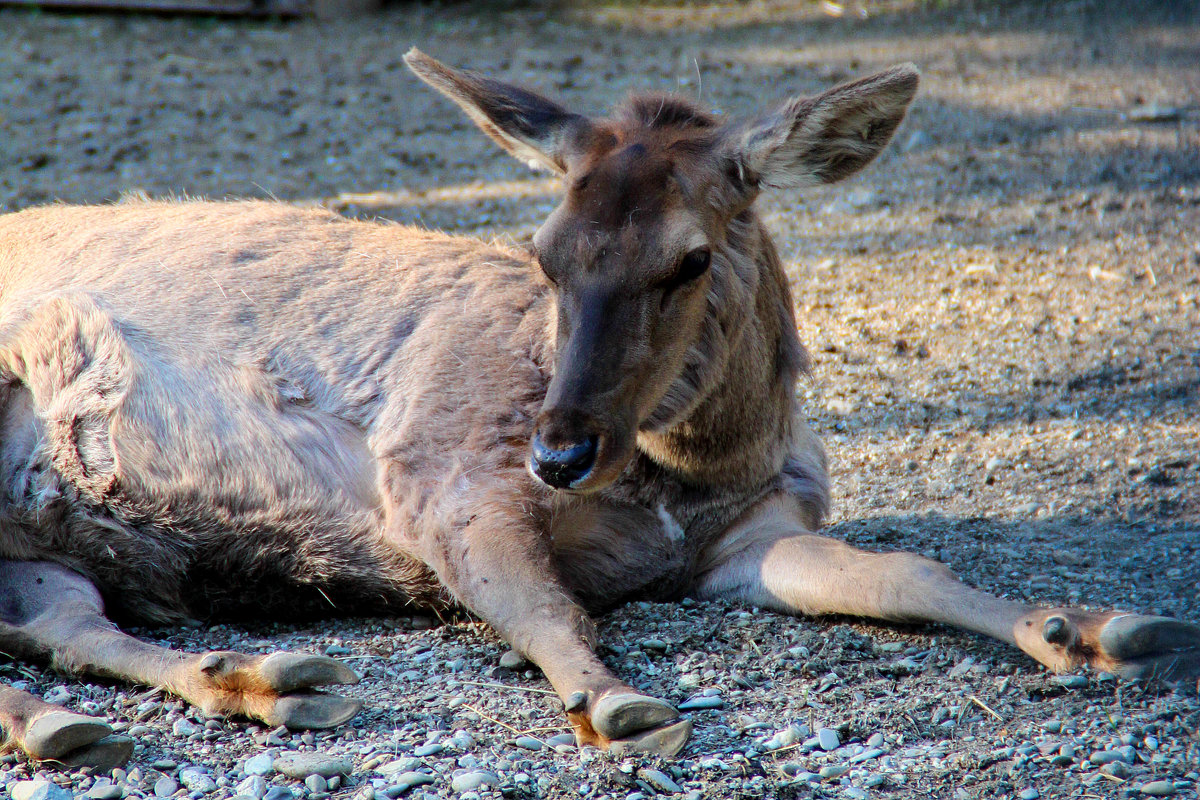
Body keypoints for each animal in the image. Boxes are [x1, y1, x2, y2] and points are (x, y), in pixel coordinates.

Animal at [2, 51, 1200, 767]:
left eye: (691, 257)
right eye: (543, 251)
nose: (561, 449)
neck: (686, 474)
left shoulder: (748, 535)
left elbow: (905, 572)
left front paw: (1091, 629)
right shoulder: (439, 468)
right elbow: (547, 608)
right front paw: (615, 699)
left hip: (45, 549)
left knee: (60, 622)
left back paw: (220, 690)